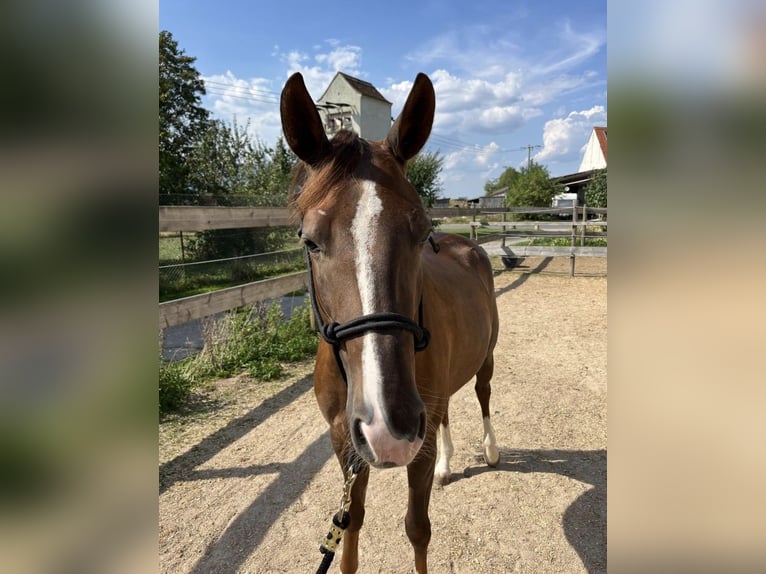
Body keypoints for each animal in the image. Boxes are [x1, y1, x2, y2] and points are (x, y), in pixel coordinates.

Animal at [280, 72, 500, 574]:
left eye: (421, 232)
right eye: (310, 241)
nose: (389, 425)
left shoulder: (415, 447)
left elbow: (417, 529)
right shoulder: (344, 441)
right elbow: (350, 526)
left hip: (486, 359)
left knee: (482, 394)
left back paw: (490, 448)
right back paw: (448, 464)